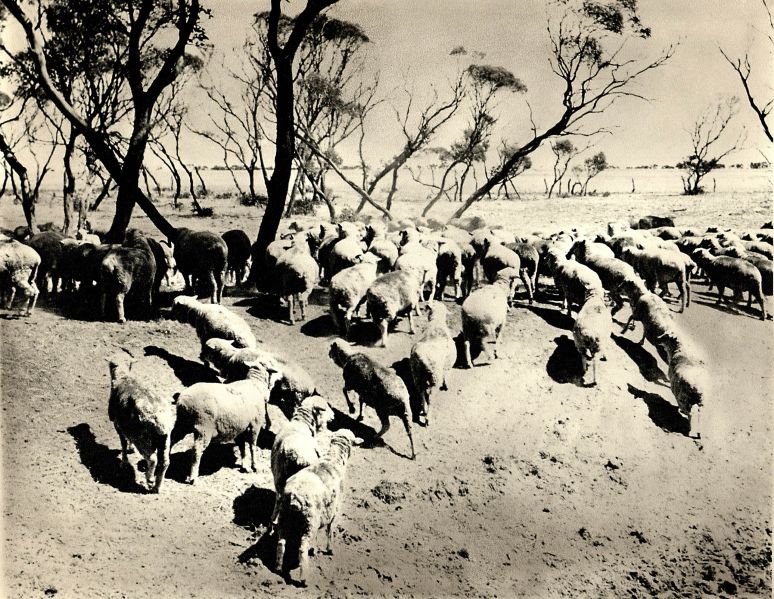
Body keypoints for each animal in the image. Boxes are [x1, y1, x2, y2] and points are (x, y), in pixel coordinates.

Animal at [107, 357, 176, 493]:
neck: (124, 377)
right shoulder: (126, 426)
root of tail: (159, 421)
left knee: (152, 459)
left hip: (142, 438)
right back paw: (157, 487)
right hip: (165, 439)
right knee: (164, 462)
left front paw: (124, 462)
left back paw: (150, 480)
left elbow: (123, 443)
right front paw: (130, 449)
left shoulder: (118, 425)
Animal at [269, 395, 335, 530]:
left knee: (279, 499)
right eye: (326, 408)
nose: (334, 415)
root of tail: (298, 456)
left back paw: (273, 521)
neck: (300, 423)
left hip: (280, 478)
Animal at [274, 429, 359, 585]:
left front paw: (316, 549)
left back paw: (278, 567)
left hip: (285, 516)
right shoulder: (335, 511)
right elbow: (330, 531)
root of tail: (294, 496)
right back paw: (304, 578)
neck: (334, 459)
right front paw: (330, 550)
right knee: (302, 548)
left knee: (281, 542)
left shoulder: (323, 513)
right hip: (309, 521)